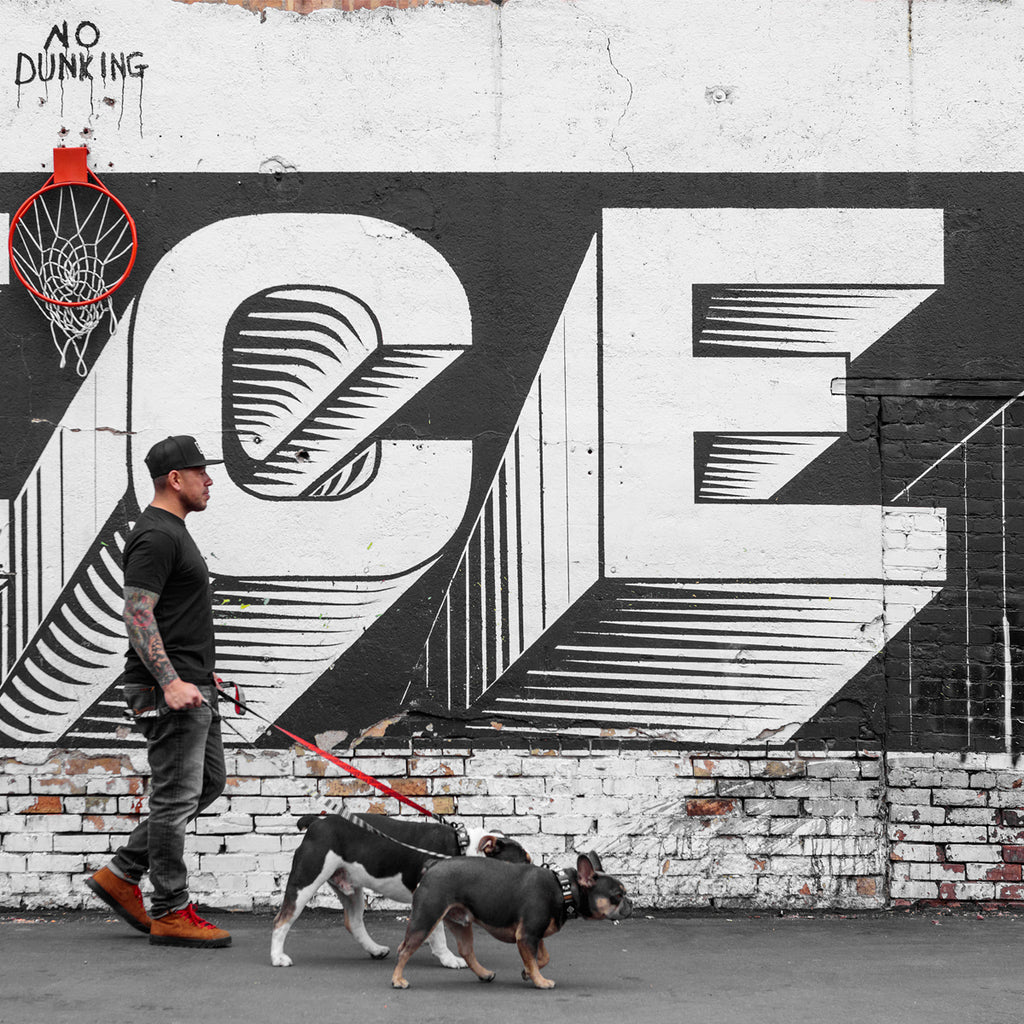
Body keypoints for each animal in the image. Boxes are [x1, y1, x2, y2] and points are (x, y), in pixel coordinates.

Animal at [268, 815, 532, 966]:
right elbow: (438, 934)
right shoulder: (432, 897)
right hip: (306, 879)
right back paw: (277, 958)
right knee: (283, 919)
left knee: (354, 922)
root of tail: (316, 822)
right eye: (523, 862)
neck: (463, 850)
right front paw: (449, 959)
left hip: (351, 888)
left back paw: (375, 950)